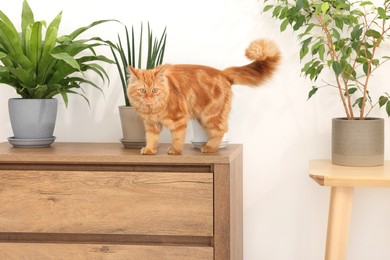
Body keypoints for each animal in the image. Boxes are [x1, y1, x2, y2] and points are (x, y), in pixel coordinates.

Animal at [127, 39, 280, 154]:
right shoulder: (151, 123)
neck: (152, 108)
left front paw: (175, 151)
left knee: (221, 130)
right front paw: (149, 150)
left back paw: (209, 147)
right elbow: (151, 138)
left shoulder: (179, 118)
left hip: (210, 115)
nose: (148, 98)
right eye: (142, 90)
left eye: (154, 90)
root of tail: (222, 72)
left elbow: (177, 138)